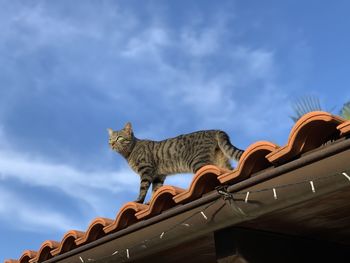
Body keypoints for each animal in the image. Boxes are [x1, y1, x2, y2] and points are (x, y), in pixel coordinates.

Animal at [108, 123, 245, 204]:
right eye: (110, 139)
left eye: (119, 138)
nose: (112, 144)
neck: (129, 153)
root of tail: (215, 130)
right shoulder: (158, 176)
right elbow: (156, 191)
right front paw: (151, 202)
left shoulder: (146, 170)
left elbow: (143, 188)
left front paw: (139, 201)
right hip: (220, 161)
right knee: (228, 170)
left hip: (198, 163)